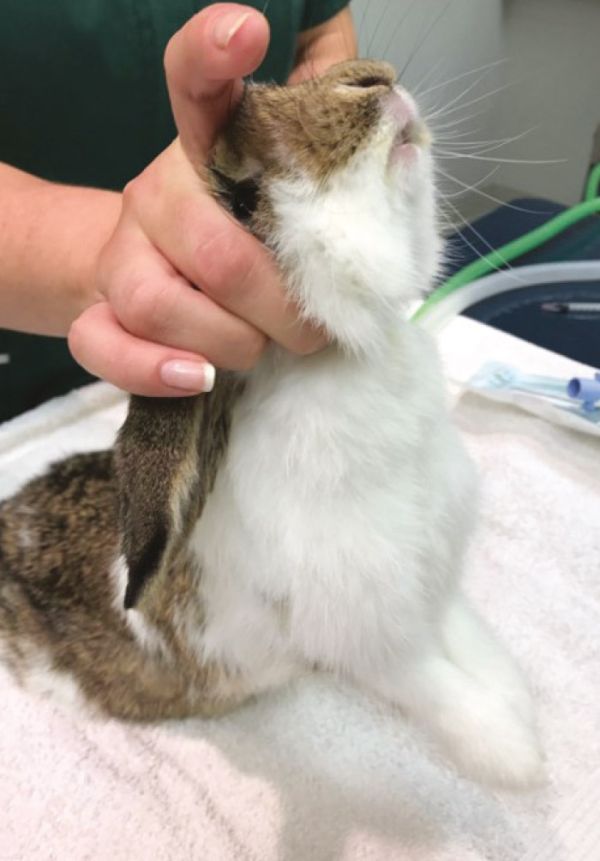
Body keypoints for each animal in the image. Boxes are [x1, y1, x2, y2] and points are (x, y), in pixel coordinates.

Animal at [0, 60, 543, 788]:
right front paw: (516, 753)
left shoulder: (432, 582)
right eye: (241, 192)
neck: (357, 353)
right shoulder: (371, 634)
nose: (373, 78)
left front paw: (518, 697)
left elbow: (466, 637)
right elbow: (436, 687)